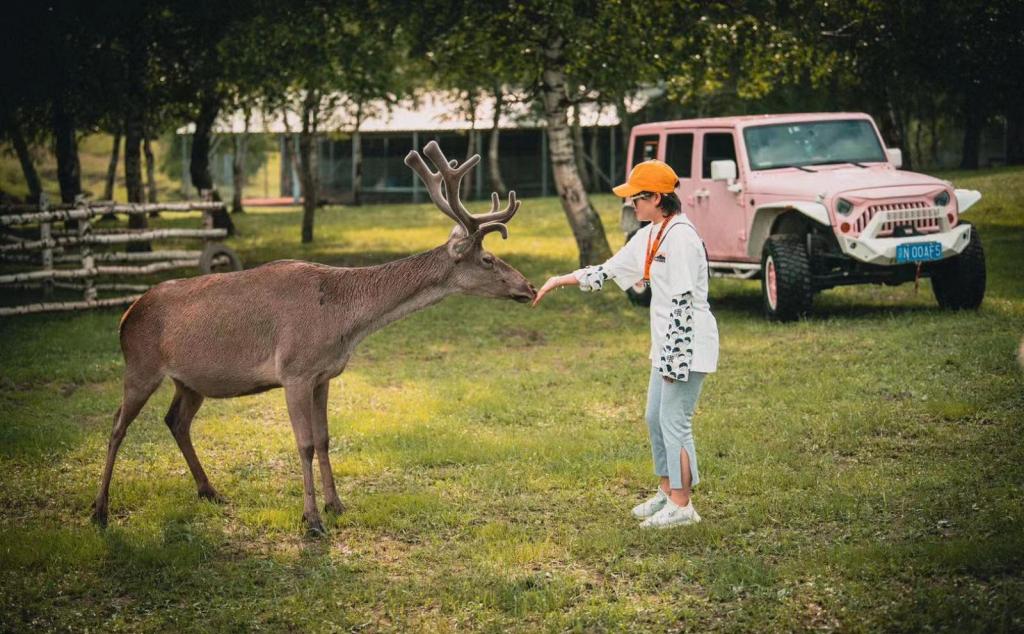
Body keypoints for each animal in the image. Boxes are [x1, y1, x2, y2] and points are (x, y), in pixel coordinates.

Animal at [90, 142, 536, 536]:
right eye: (488, 259)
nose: (529, 287)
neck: (341, 321)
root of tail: (126, 315)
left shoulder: (324, 376)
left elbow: (324, 439)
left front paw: (336, 504)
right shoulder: (295, 371)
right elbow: (303, 443)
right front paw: (312, 520)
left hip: (190, 380)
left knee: (175, 421)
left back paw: (209, 490)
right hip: (141, 365)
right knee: (116, 425)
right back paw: (100, 510)